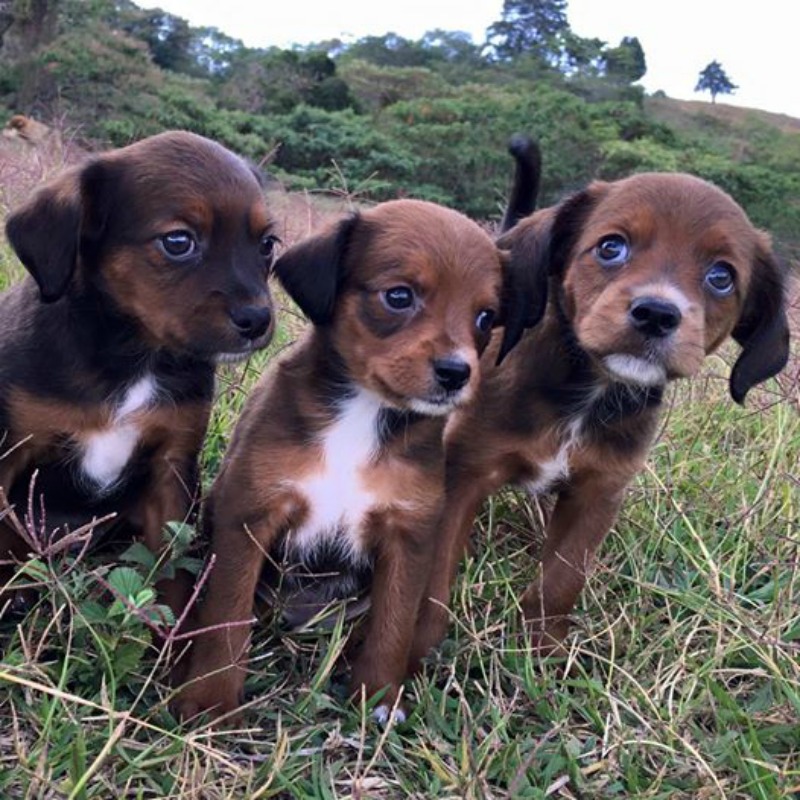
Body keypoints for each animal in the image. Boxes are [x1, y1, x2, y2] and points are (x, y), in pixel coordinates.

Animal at [1, 130, 278, 612]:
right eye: (178, 242)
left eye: (267, 245)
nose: (258, 320)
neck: (135, 355)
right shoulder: (9, 453)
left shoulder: (171, 471)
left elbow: (169, 572)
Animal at [169, 198, 532, 720]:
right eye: (399, 296)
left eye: (485, 318)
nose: (456, 373)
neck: (361, 413)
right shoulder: (249, 516)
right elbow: (227, 617)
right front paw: (210, 699)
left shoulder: (408, 536)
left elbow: (392, 624)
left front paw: (378, 697)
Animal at [410, 139, 792, 668]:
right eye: (611, 247)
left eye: (721, 277)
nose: (656, 313)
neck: (589, 391)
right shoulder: (464, 471)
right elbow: (434, 572)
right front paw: (417, 650)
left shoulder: (598, 492)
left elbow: (563, 577)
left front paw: (542, 651)